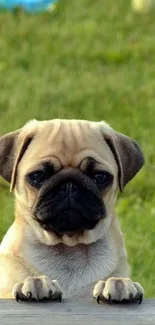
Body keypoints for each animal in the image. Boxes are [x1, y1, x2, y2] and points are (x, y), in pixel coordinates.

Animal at [0, 119, 144, 304]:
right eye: (37, 176)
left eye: (100, 177)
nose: (69, 185)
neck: (68, 246)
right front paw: (36, 282)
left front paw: (118, 283)